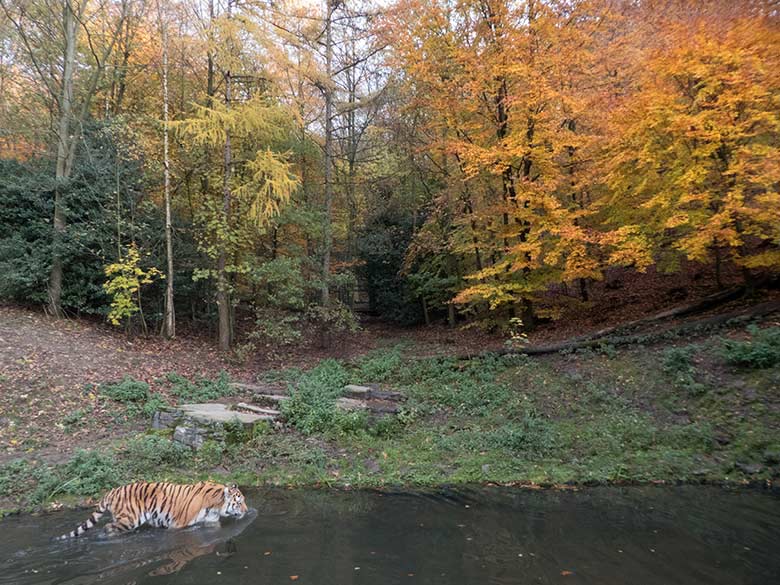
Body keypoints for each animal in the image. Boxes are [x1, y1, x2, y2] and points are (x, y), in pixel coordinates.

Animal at [57, 480, 247, 540]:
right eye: (239, 502)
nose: (246, 510)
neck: (215, 505)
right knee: (107, 528)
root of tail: (112, 491)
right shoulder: (179, 525)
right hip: (129, 519)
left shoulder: (210, 522)